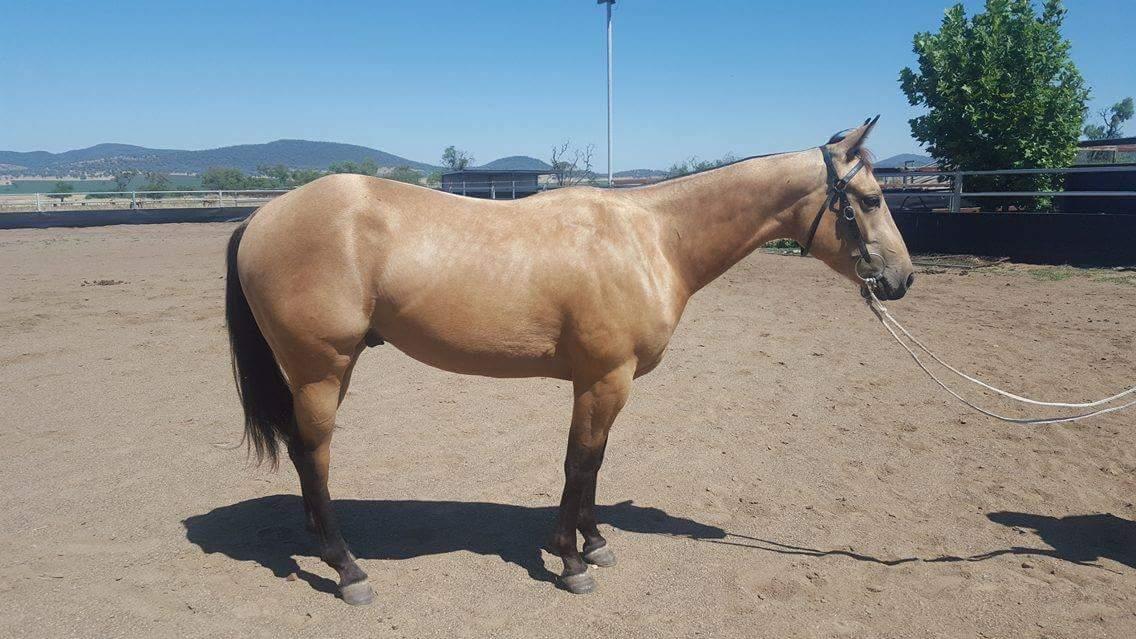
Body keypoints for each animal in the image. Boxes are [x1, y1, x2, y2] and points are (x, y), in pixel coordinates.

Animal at [224, 117, 914, 605]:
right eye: (871, 198)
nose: (902, 279)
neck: (652, 239)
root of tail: (263, 215)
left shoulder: (603, 381)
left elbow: (595, 463)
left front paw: (596, 543)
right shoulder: (605, 378)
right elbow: (579, 463)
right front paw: (572, 562)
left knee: (305, 454)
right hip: (322, 370)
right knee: (314, 454)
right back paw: (348, 570)